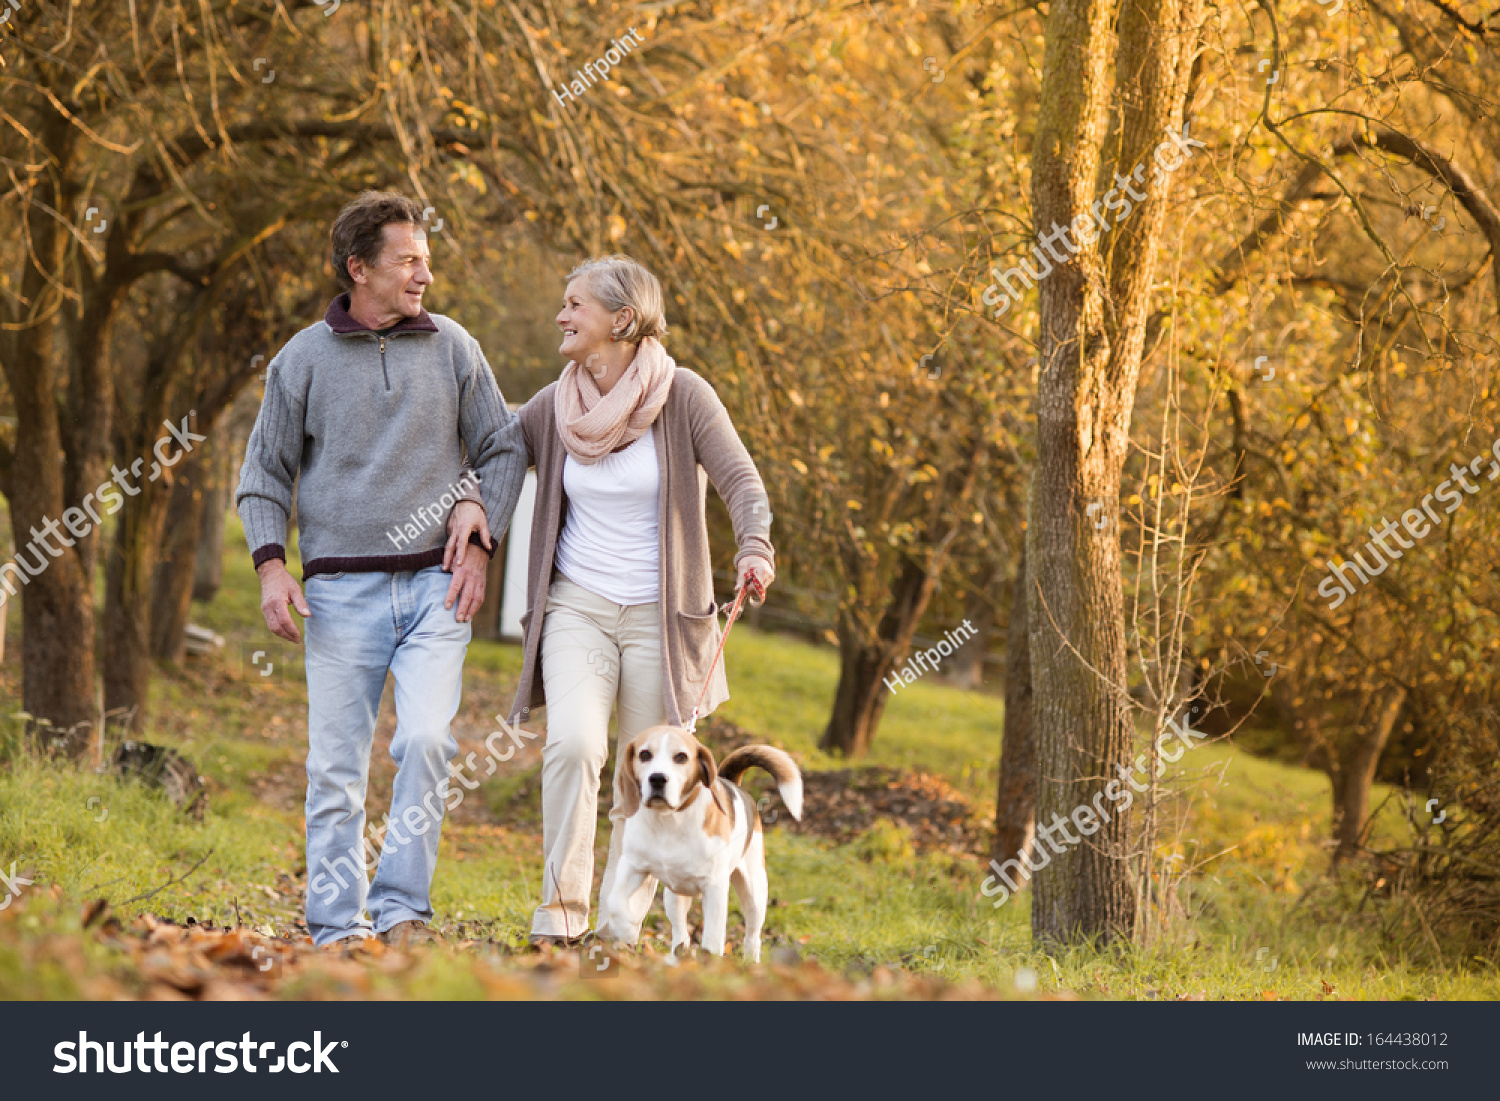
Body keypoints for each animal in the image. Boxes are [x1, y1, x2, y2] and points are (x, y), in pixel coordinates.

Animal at [603, 729, 804, 960]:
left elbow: (713, 939)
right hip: (673, 896)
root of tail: (732, 783)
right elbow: (614, 902)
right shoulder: (632, 866)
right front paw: (625, 927)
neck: (668, 820)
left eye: (681, 757)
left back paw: (751, 962)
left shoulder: (715, 887)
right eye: (644, 754)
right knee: (681, 933)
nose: (657, 779)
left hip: (755, 892)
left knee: (752, 936)